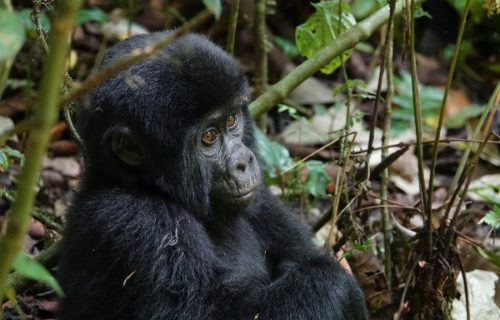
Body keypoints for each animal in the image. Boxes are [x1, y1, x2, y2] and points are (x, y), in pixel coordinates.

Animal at [58, 30, 368, 320]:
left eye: (232, 119)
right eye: (208, 136)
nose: (244, 161)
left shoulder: (260, 198)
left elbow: (306, 257)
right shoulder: (134, 219)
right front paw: (338, 286)